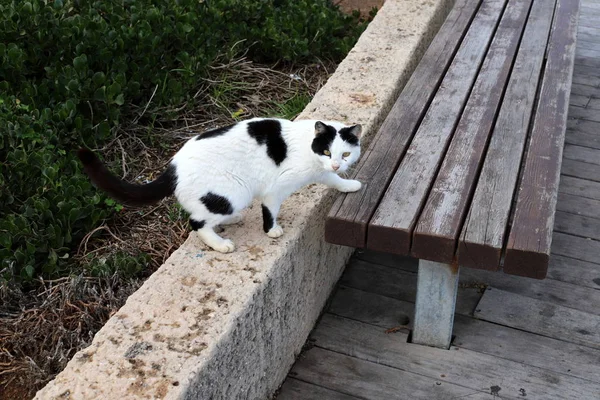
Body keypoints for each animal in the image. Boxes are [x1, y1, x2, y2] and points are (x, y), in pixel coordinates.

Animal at [78, 117, 360, 252]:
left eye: (345, 154)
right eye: (326, 151)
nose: (337, 163)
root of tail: (173, 167)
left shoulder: (322, 172)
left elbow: (333, 179)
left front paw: (349, 185)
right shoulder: (275, 189)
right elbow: (270, 210)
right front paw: (271, 230)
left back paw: (232, 220)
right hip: (233, 192)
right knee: (196, 223)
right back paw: (220, 244)